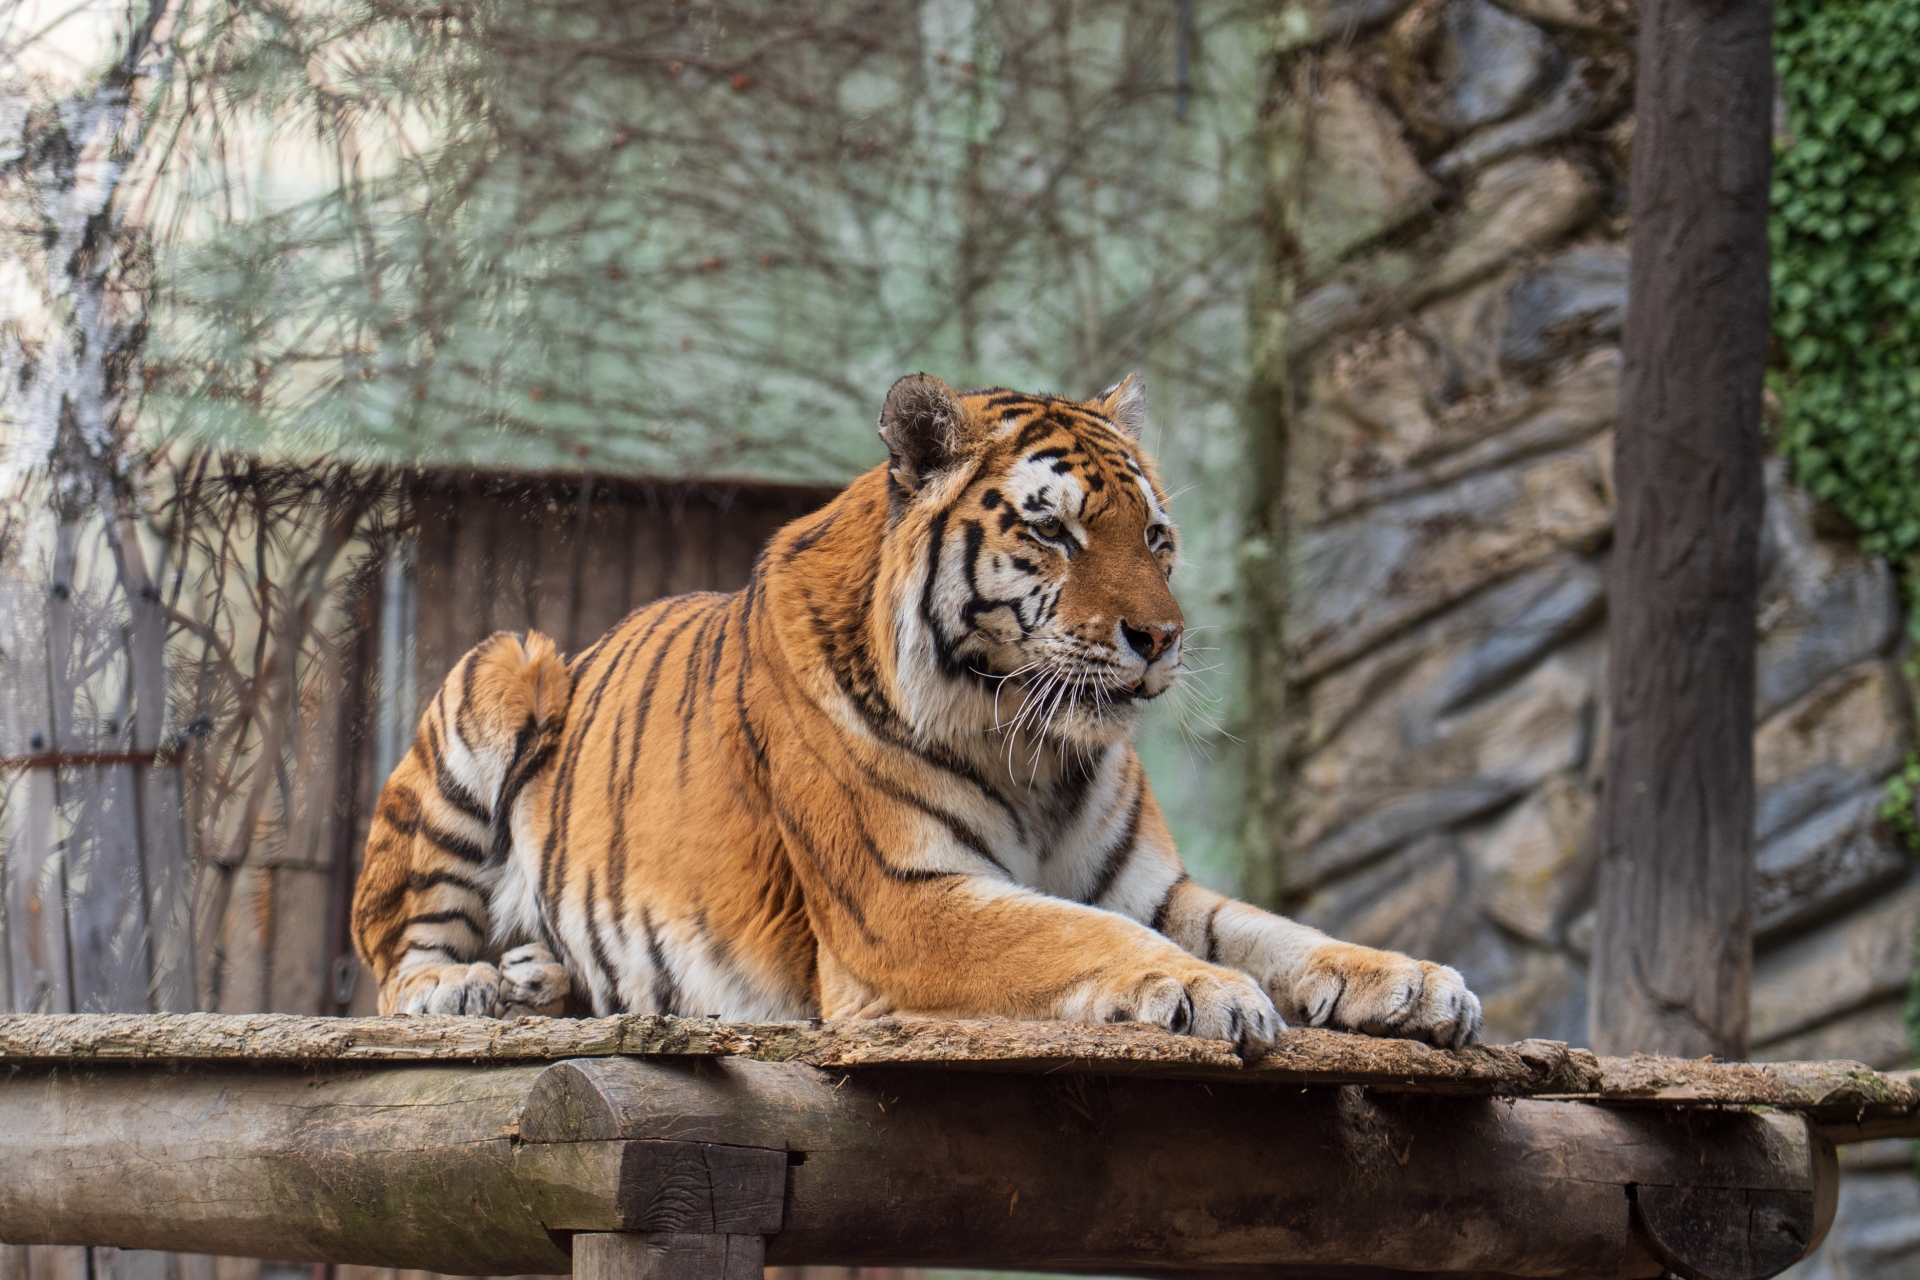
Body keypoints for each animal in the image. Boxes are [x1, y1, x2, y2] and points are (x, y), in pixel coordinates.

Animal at [350, 373, 1483, 1053]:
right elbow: (1080, 937)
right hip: (502, 663)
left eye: (1156, 538)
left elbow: (1278, 931)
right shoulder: (901, 902)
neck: (1036, 749)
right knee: (391, 958)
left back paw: (538, 976)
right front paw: (1213, 991)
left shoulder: (1153, 888)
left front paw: (1413, 980)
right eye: (1056, 531)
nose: (1159, 637)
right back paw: (466, 988)